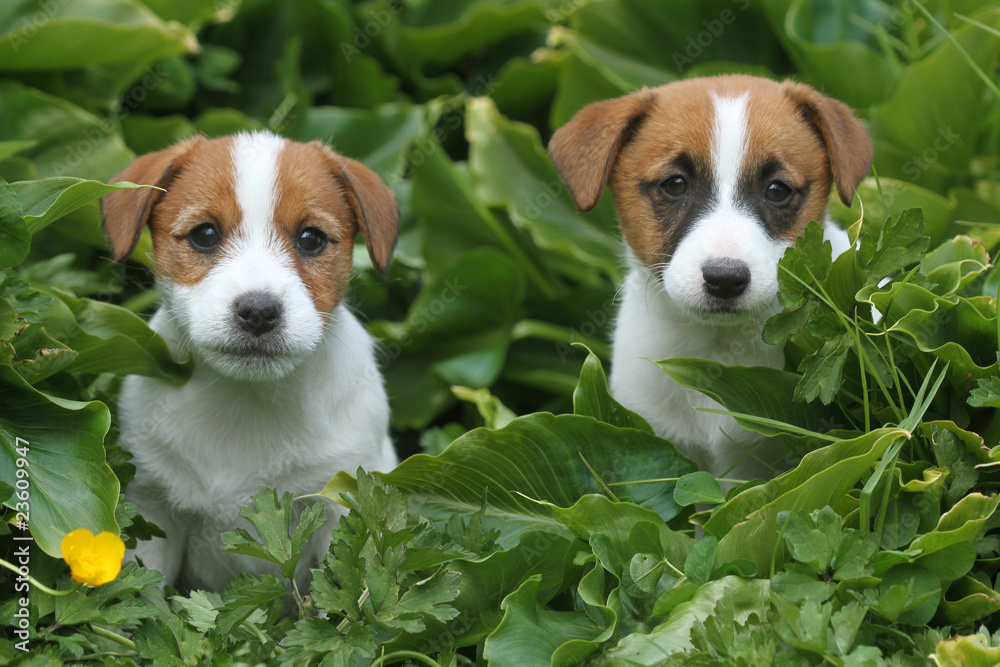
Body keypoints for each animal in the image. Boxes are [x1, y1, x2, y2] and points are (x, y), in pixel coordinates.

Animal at [100, 133, 398, 592]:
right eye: (205, 234)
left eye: (311, 238)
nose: (259, 311)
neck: (247, 398)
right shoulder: (153, 510)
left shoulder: (342, 504)